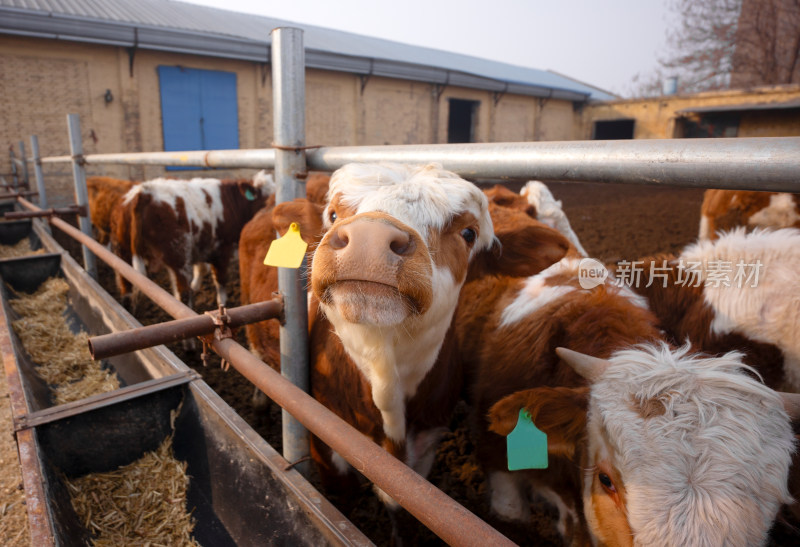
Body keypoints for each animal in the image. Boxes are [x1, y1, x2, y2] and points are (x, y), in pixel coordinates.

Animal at [117, 169, 276, 310]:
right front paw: (222, 303)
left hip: (124, 253)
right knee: (182, 294)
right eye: (267, 198)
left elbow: (200, 268)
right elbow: (220, 279)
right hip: (178, 255)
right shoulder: (221, 249)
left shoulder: (201, 244)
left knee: (126, 289)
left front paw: (195, 286)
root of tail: (145, 192)